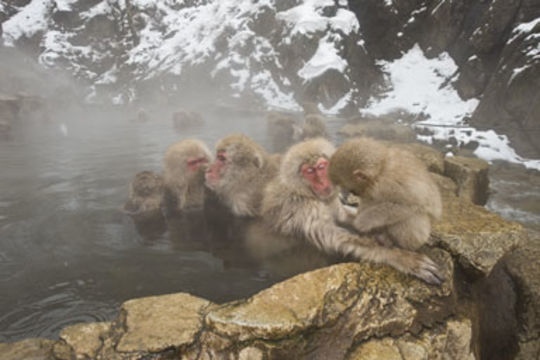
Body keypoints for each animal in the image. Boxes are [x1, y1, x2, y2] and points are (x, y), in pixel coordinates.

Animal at [260, 137, 442, 284]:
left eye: (321, 167)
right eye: (309, 171)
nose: (322, 182)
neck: (305, 192)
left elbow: (343, 217)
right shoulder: (304, 209)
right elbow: (338, 240)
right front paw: (401, 258)